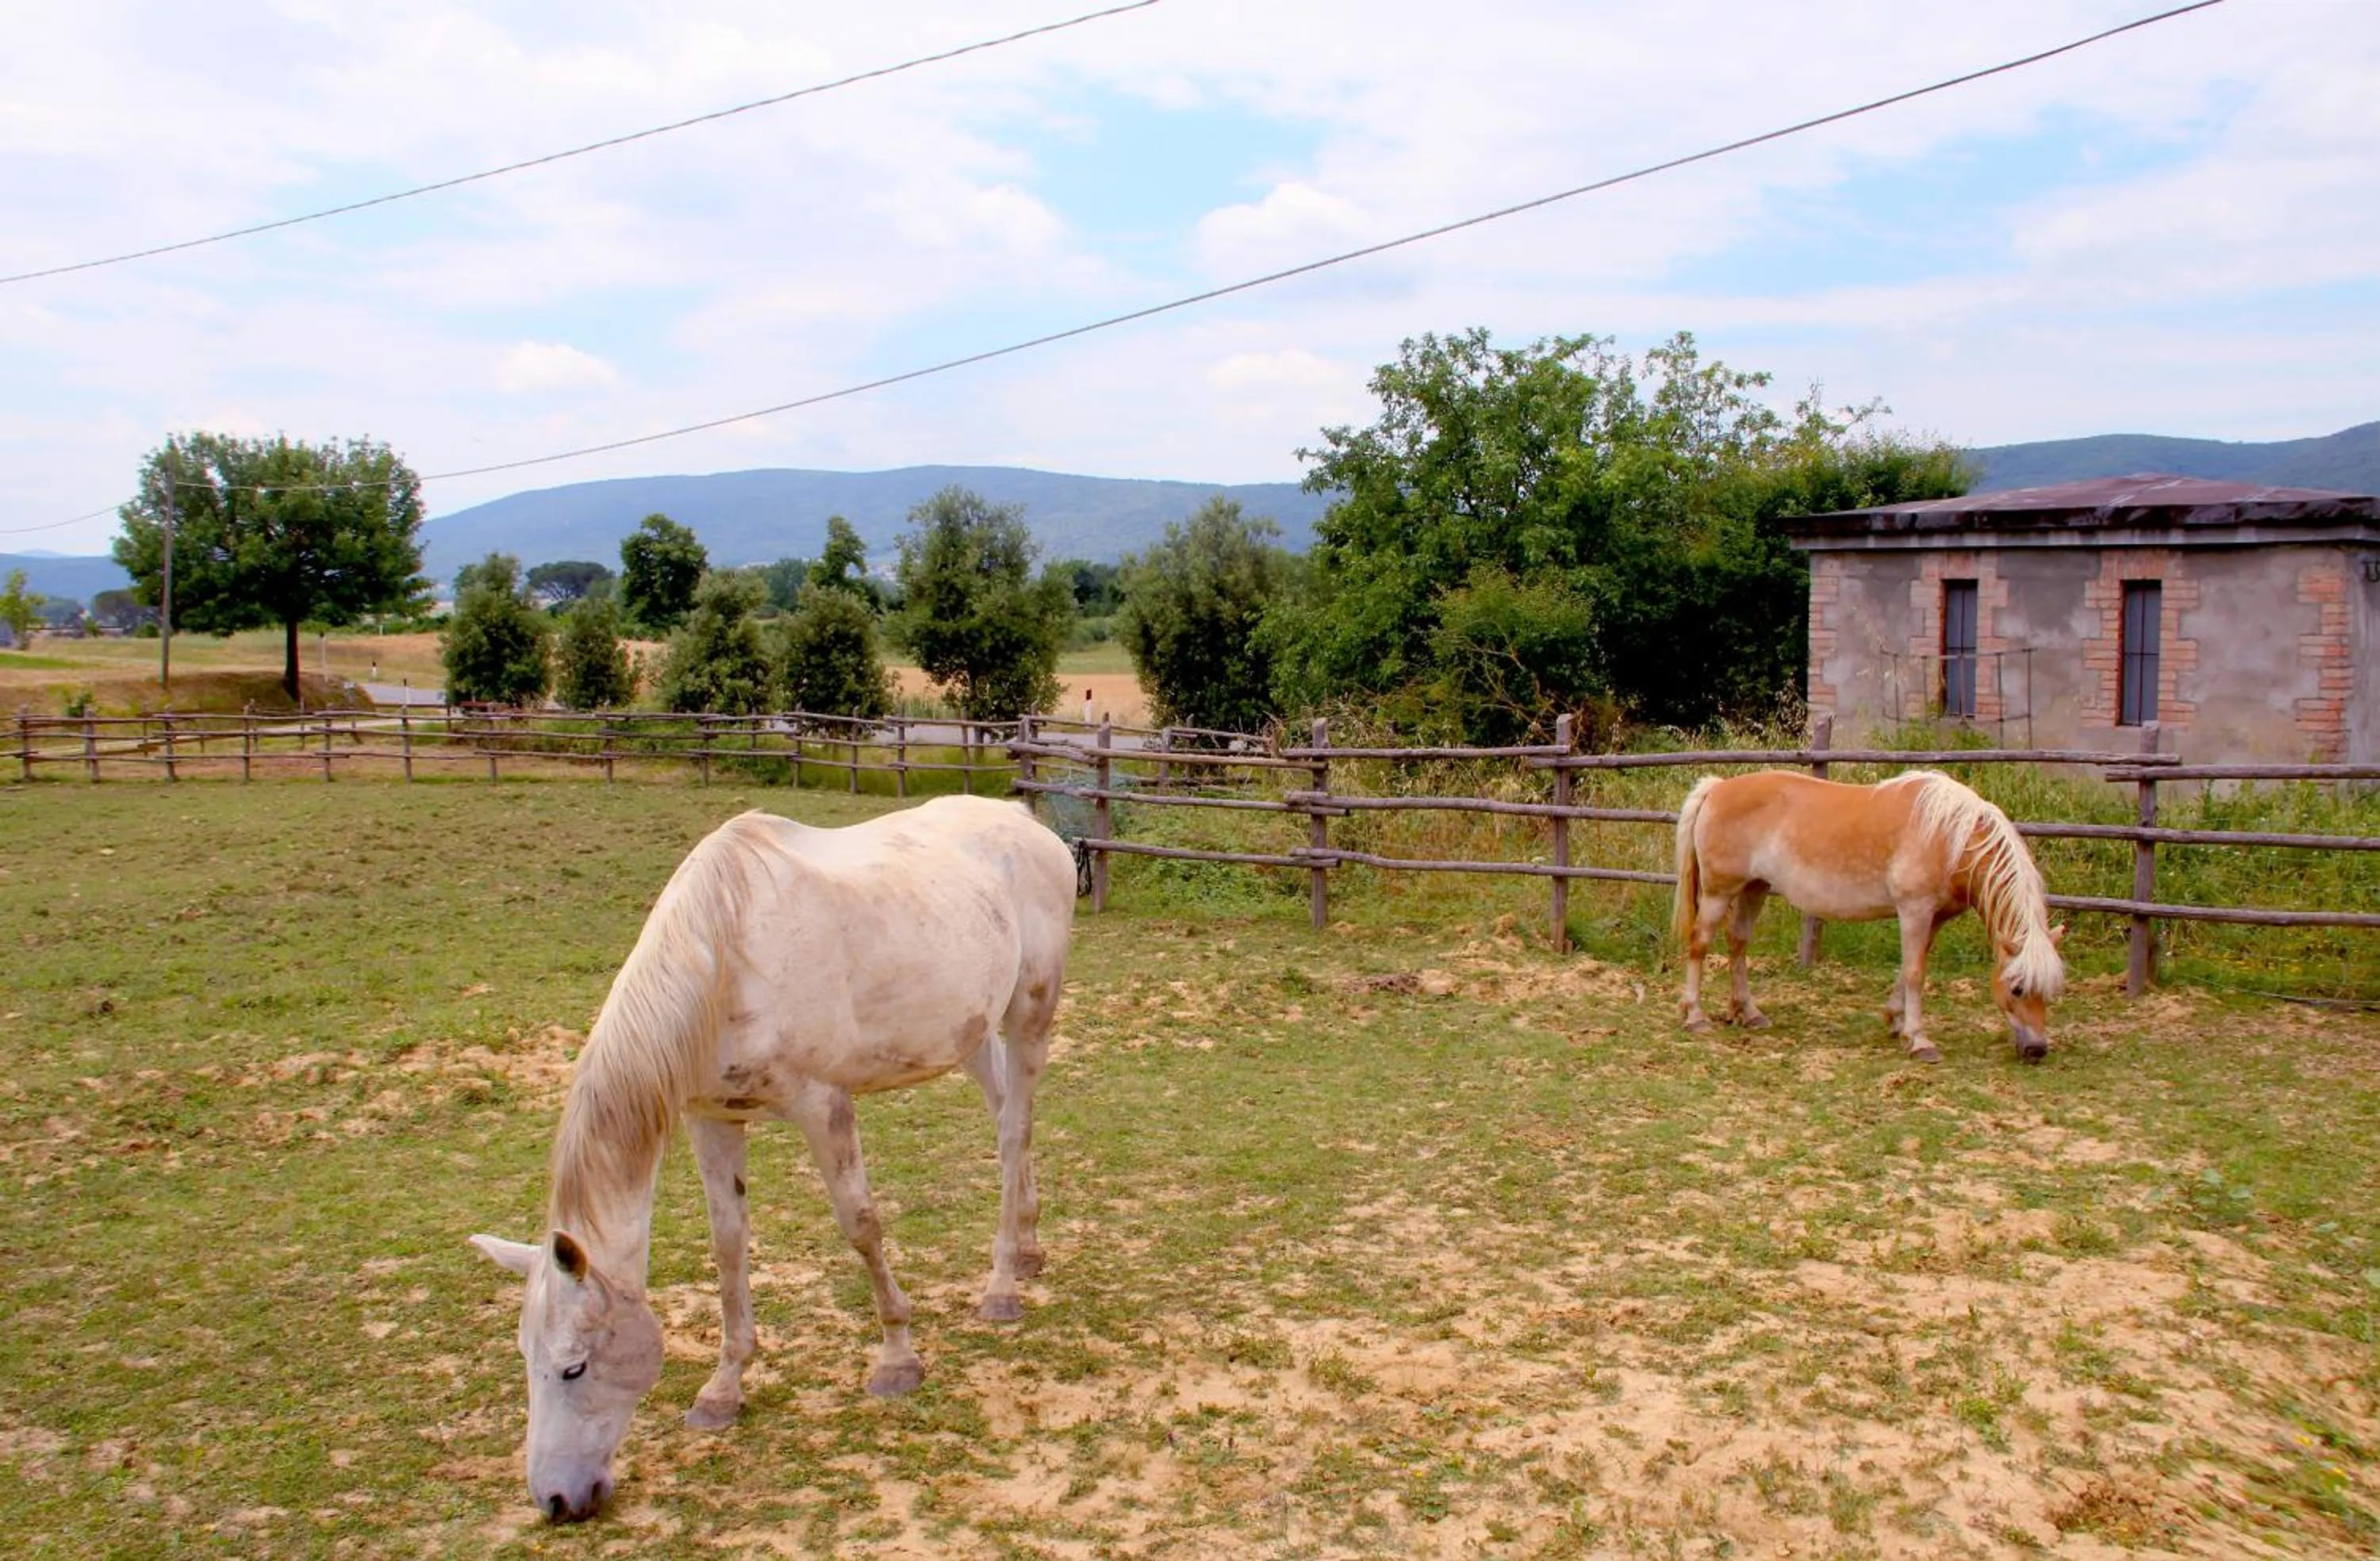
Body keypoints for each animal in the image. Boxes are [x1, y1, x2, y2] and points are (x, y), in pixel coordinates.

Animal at [469, 794, 1077, 1523]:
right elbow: (729, 1247)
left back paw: (1001, 1286)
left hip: (1029, 1015)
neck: (725, 958)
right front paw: (723, 1389)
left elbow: (861, 1226)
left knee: (1014, 1132)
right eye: (525, 1358)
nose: (555, 1499)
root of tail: (1026, 822)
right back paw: (1028, 1246)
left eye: (574, 1367)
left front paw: (897, 1358)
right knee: (1007, 1118)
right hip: (970, 1032)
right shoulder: (710, 1119)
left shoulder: (823, 1106)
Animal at [1672, 770, 2065, 1063]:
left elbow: (1908, 968)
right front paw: (1920, 1041)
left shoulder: (1932, 918)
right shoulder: (1915, 911)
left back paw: (1749, 1013)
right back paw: (1695, 1017)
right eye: (2016, 988)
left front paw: (1896, 1021)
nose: (2036, 1050)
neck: (1950, 837)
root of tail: (1717, 787)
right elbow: (1916, 974)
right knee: (1700, 944)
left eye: (2051, 991)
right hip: (1719, 893)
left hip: (1754, 889)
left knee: (1738, 943)